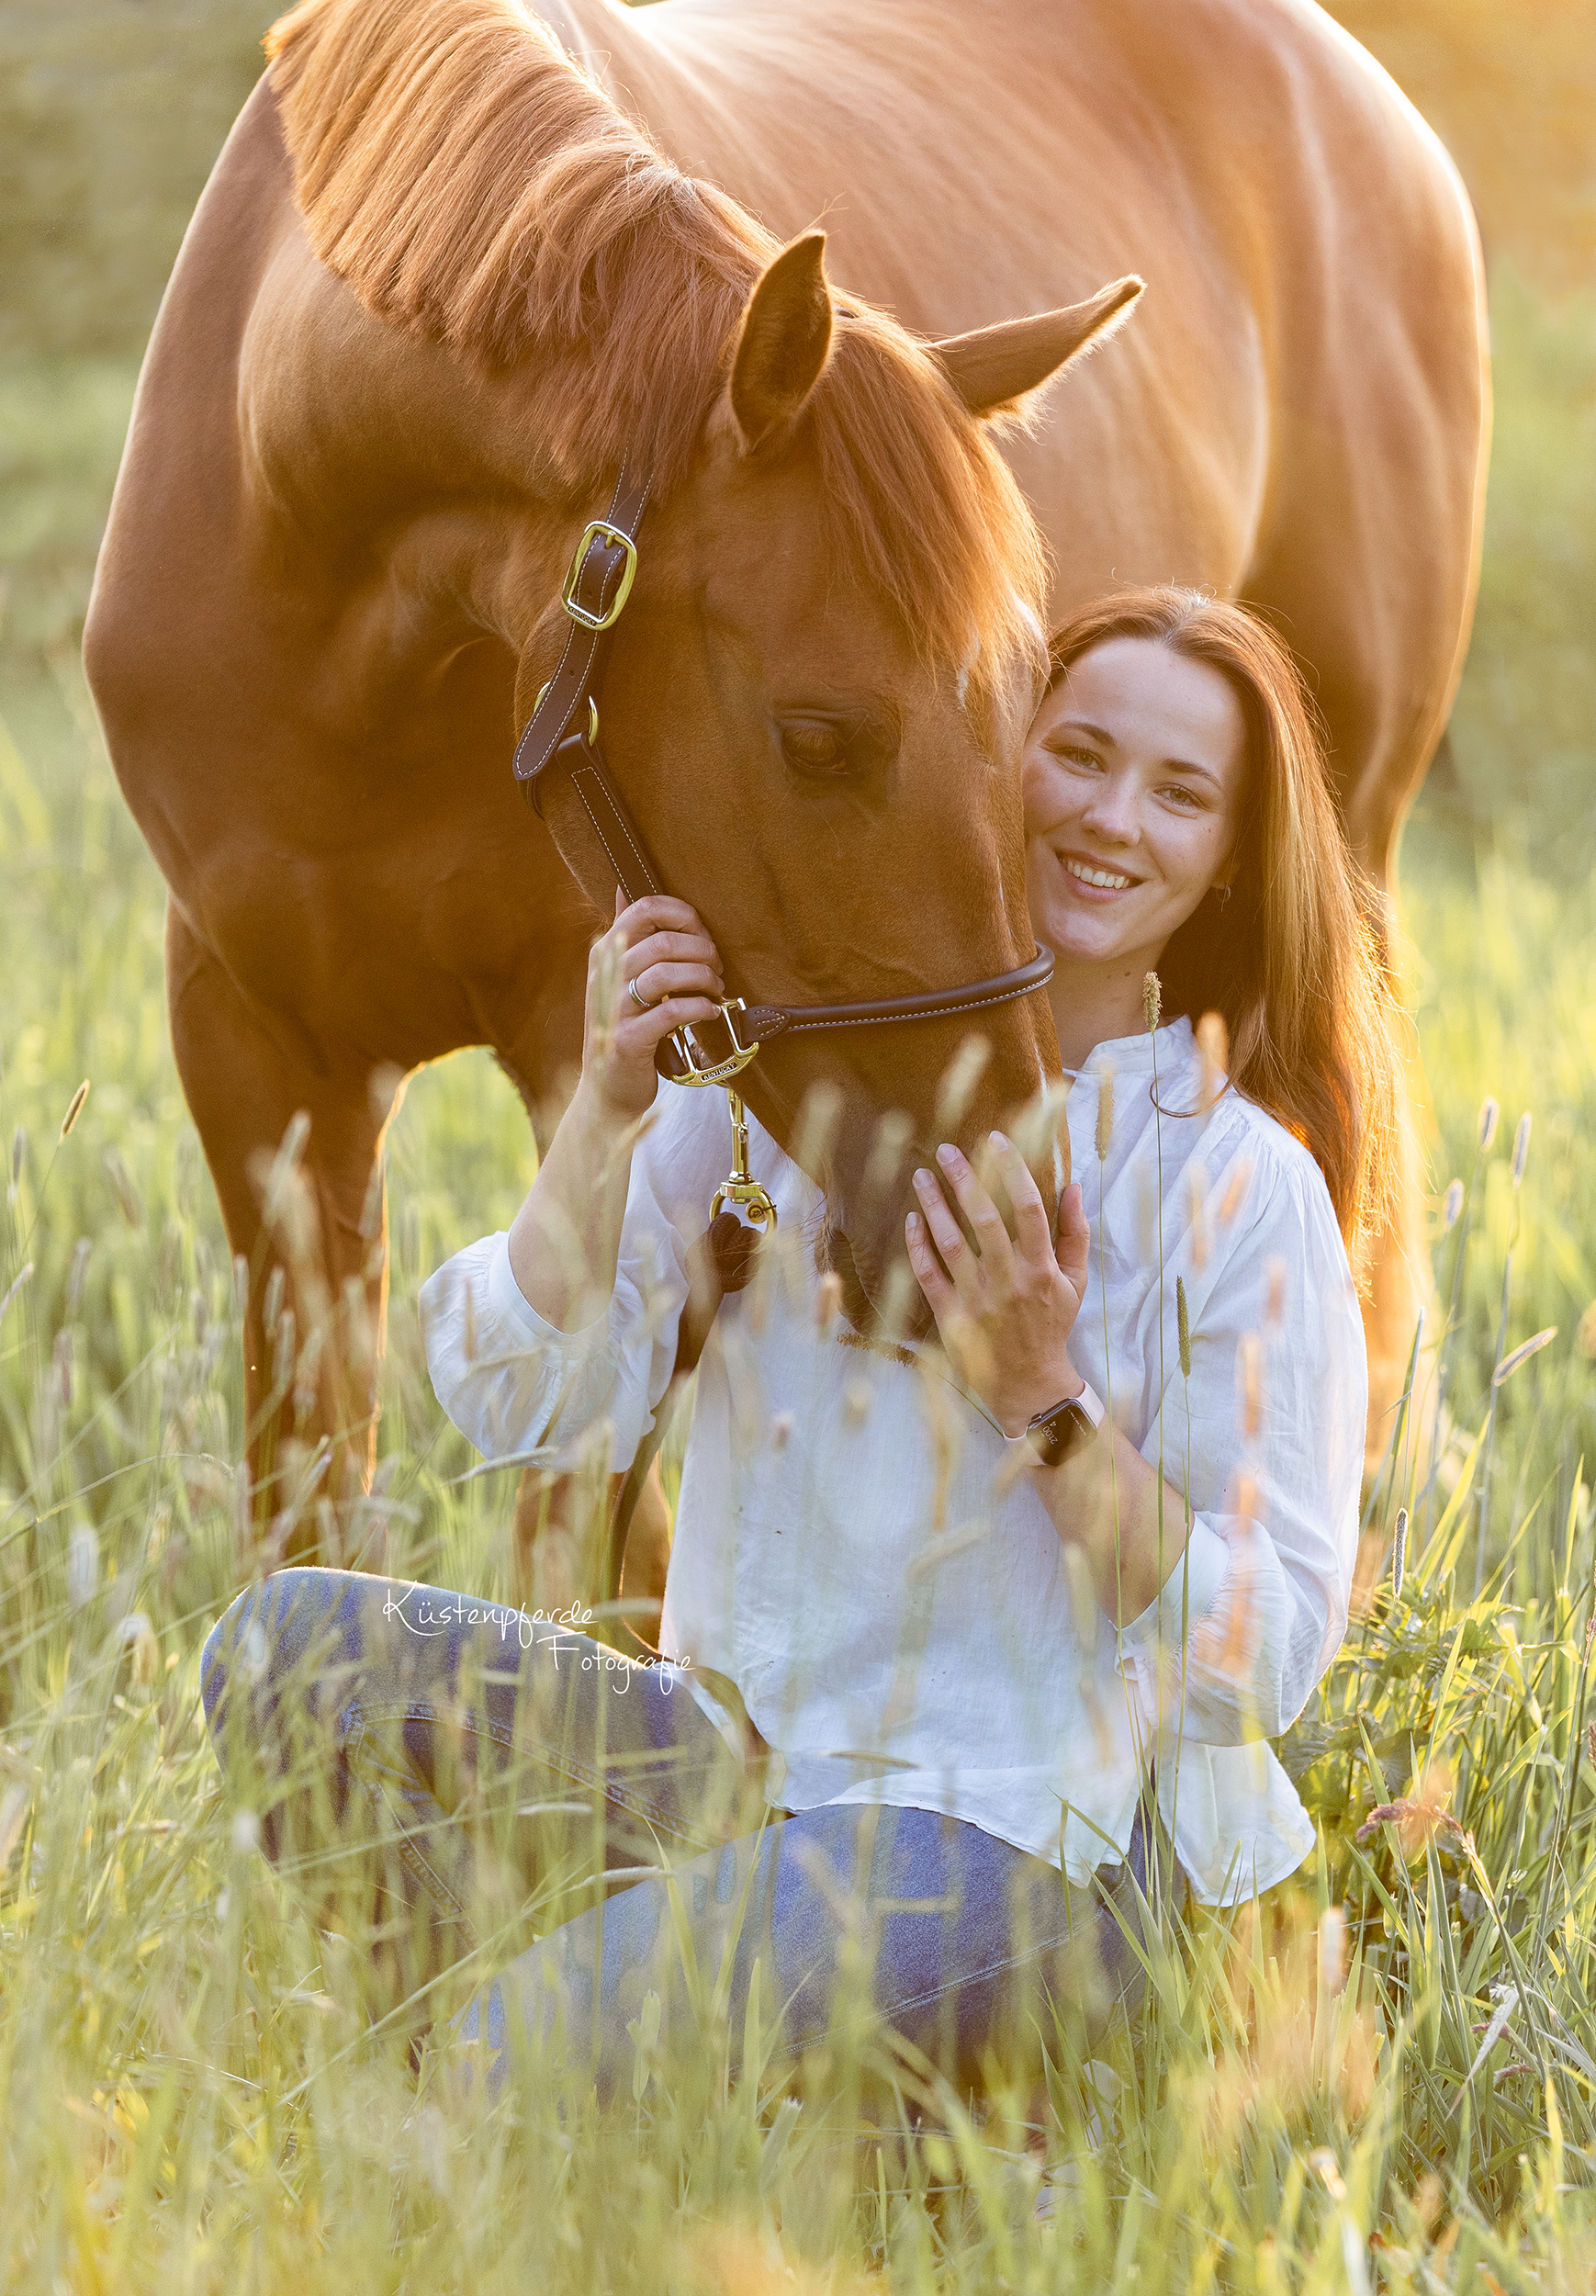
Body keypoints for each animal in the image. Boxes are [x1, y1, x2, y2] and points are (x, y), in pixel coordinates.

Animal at [87, 0, 1488, 1580]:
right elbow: (313, 1503)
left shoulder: (576, 1057)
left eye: (1034, 710)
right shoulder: (255, 1059)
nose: (1011, 1201)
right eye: (818, 736)